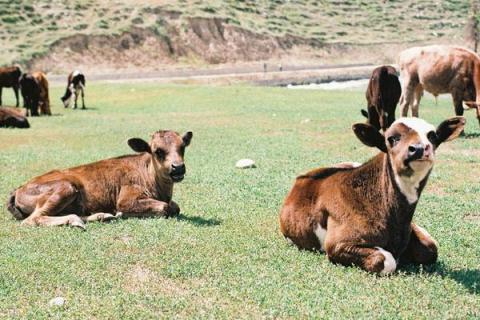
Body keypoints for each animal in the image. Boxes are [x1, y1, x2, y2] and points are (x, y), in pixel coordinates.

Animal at [6, 129, 192, 229]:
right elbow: (165, 208)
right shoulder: (126, 200)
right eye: (157, 151)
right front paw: (125, 214)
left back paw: (104, 216)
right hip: (65, 188)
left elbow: (175, 207)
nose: (178, 167)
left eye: (182, 147)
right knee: (33, 219)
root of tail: (18, 190)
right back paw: (78, 221)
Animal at [280, 116, 466, 274]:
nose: (419, 148)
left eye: (432, 136)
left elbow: (430, 249)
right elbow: (386, 259)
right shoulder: (336, 243)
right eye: (392, 138)